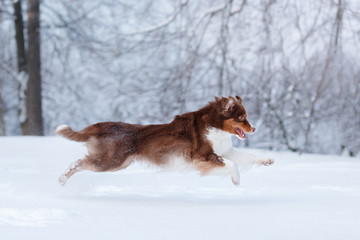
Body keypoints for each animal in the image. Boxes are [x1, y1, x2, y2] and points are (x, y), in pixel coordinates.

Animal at [57, 95, 274, 186]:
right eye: (242, 117)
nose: (254, 128)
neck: (215, 126)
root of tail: (103, 125)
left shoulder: (224, 151)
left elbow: (247, 156)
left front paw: (267, 160)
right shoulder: (203, 156)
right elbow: (232, 165)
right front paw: (236, 180)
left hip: (118, 163)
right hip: (110, 161)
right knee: (79, 163)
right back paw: (62, 179)